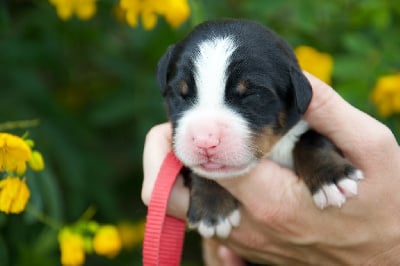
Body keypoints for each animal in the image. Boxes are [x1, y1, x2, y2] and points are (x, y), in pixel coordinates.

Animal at [155, 19, 362, 239]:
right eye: (180, 94)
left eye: (251, 95)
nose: (205, 141)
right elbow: (201, 170)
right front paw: (213, 207)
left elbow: (312, 139)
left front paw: (332, 178)